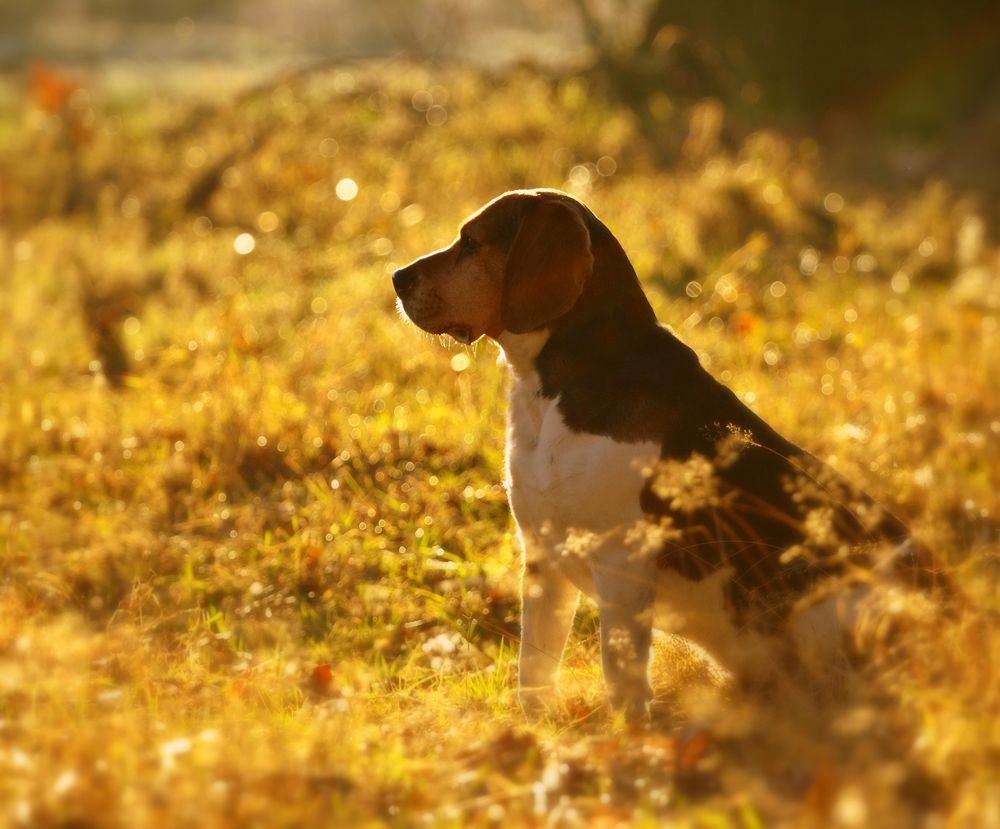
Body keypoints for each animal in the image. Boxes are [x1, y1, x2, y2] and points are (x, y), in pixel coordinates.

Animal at [392, 189, 952, 720]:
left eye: (471, 243)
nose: (396, 277)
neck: (564, 381)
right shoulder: (543, 560)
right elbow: (535, 667)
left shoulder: (621, 567)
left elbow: (620, 678)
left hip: (826, 605)